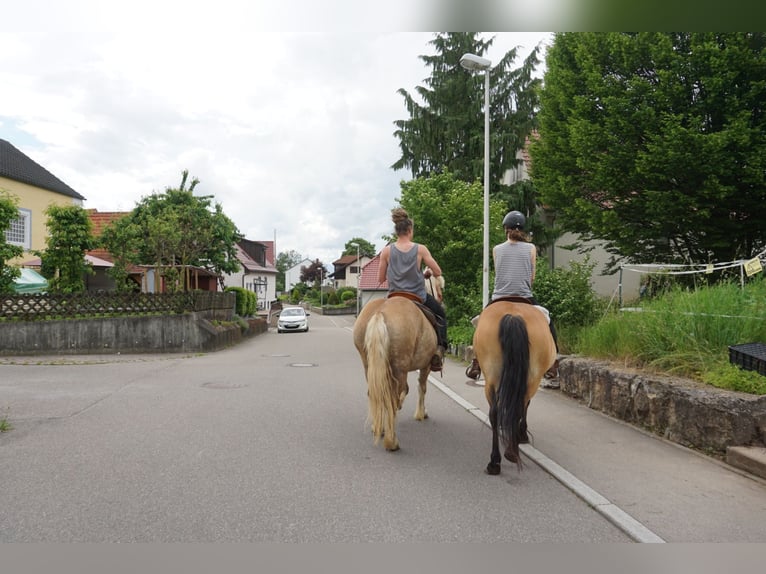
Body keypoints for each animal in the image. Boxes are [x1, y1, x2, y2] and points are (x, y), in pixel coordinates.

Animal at [352, 296, 438, 454]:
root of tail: (380, 312)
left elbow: (406, 390)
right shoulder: (426, 366)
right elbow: (421, 387)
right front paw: (421, 413)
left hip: (370, 366)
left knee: (376, 394)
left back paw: (378, 428)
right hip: (400, 368)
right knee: (392, 399)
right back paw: (391, 442)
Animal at [474, 302, 560, 476]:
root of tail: (513, 316)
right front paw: (522, 433)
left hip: (492, 378)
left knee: (495, 413)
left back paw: (496, 461)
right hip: (532, 380)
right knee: (518, 408)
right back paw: (509, 451)